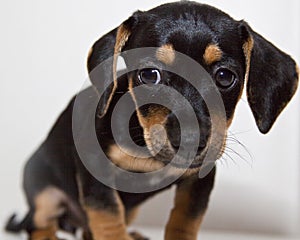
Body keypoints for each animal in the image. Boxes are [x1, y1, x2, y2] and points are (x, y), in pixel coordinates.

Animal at [4, 1, 298, 240]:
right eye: (149, 74)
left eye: (225, 77)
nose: (190, 140)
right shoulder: (96, 173)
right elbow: (108, 218)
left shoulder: (199, 180)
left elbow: (185, 220)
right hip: (44, 194)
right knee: (39, 225)